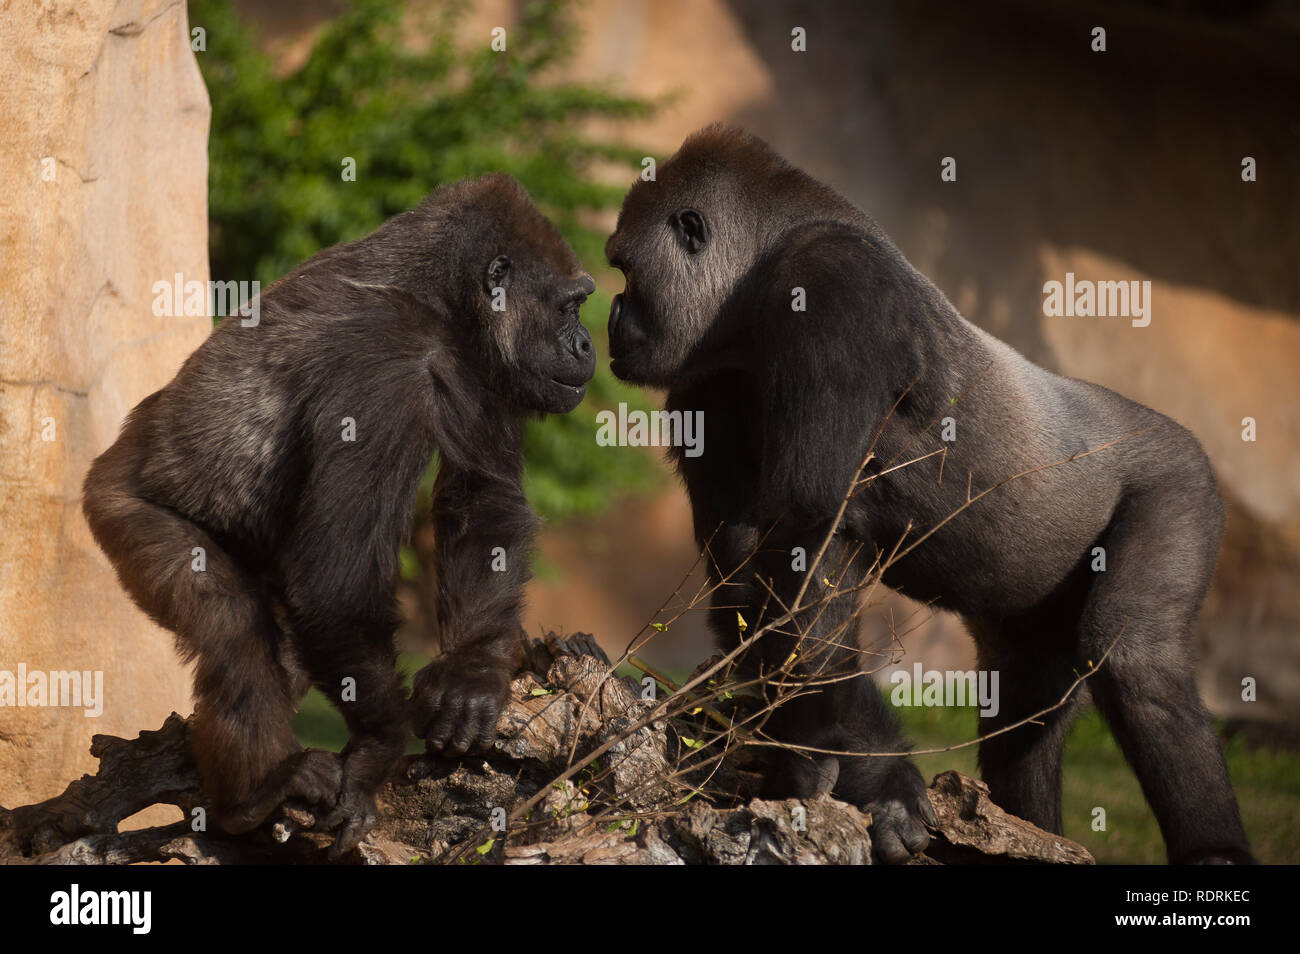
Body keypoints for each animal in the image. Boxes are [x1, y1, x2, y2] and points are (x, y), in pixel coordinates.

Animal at [83, 174, 597, 855]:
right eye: (568, 307)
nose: (587, 345)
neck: (435, 295)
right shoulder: (379, 365)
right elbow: (334, 580)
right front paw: (379, 748)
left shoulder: (480, 362)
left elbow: (483, 496)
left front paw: (474, 670)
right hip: (121, 507)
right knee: (232, 628)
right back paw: (253, 795)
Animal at [603, 125, 1253, 864]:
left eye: (626, 270)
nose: (611, 316)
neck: (754, 276)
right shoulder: (705, 380)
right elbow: (751, 564)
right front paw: (867, 774)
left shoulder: (832, 281)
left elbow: (805, 530)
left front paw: (851, 770)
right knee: (1025, 701)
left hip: (1182, 479)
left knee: (1138, 660)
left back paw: (1214, 851)